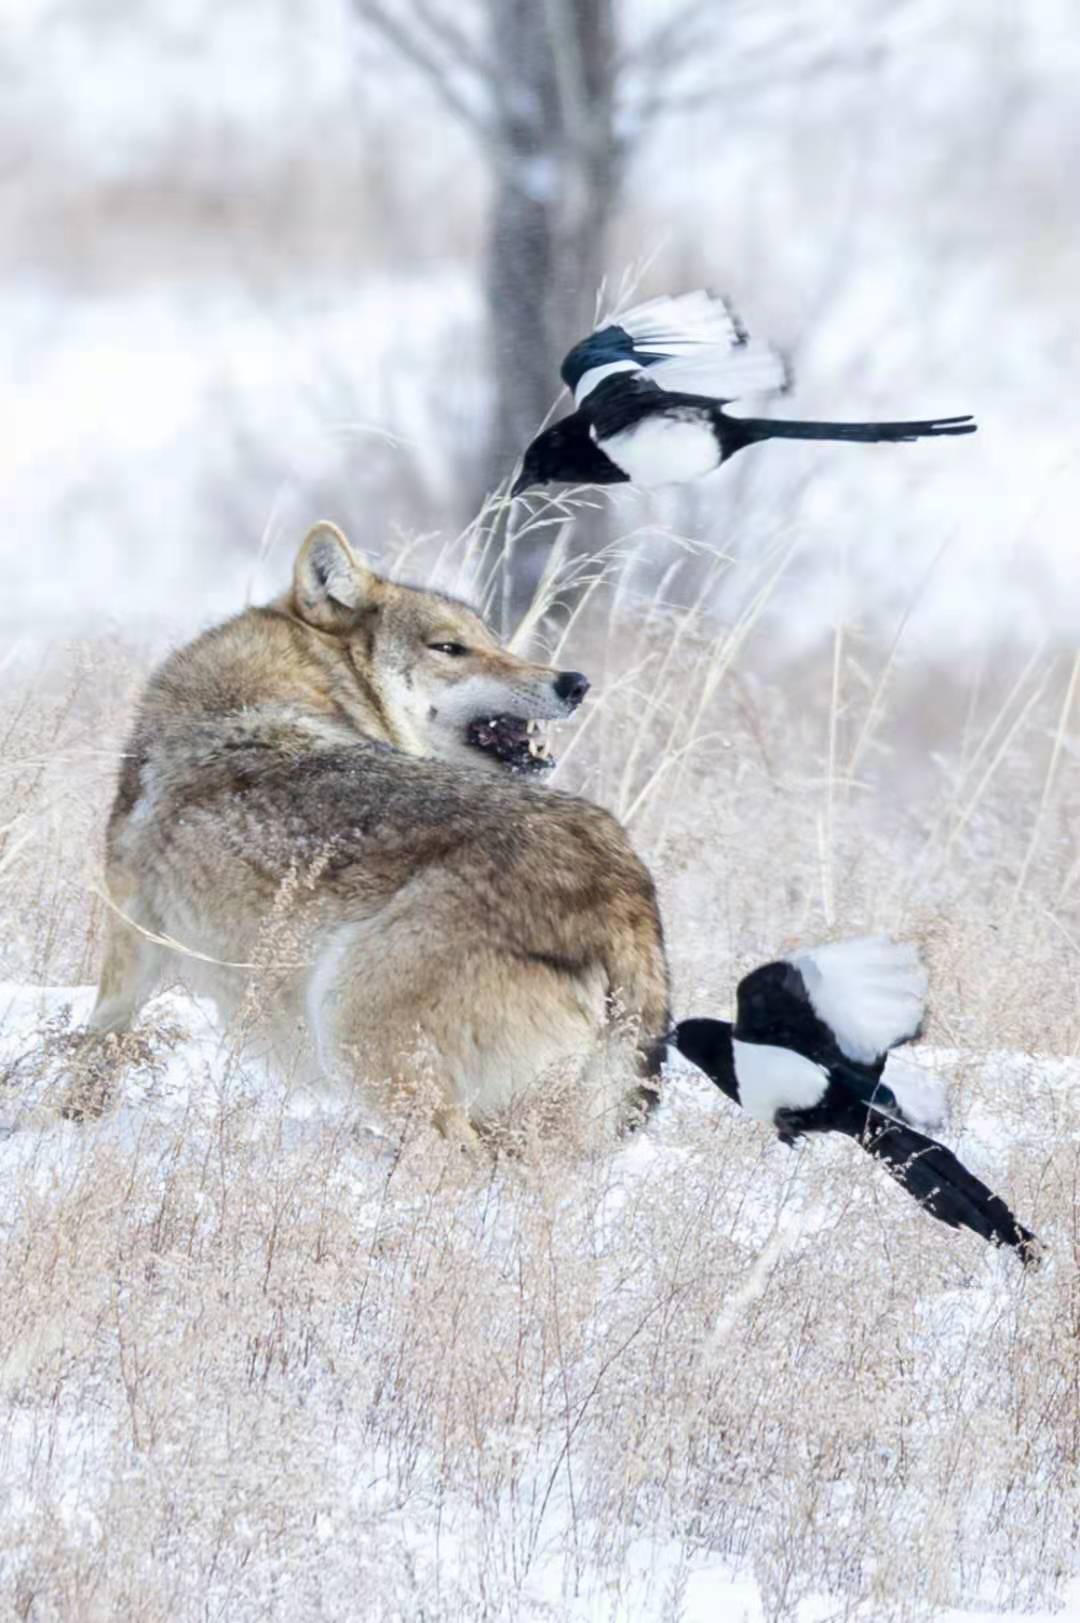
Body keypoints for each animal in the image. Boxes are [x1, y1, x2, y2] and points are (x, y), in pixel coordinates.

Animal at [69, 522, 665, 1142]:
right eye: (450, 647)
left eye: (493, 644)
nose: (575, 682)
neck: (308, 683)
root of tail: (626, 897)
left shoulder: (132, 931)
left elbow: (96, 1043)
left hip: (353, 1031)